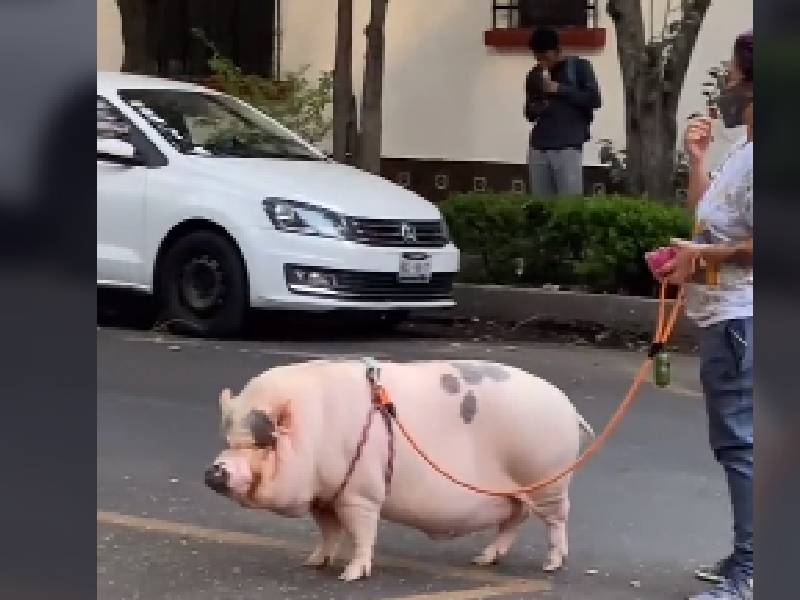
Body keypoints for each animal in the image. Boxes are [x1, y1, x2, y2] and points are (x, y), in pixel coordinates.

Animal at [206, 360, 592, 580]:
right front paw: (313, 563)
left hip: (547, 480)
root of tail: (569, 408)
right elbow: (328, 532)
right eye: (229, 439)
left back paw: (551, 566)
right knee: (514, 519)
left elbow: (361, 531)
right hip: (515, 491)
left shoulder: (360, 491)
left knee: (557, 519)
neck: (315, 427)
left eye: (263, 443)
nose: (214, 471)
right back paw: (483, 561)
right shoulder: (325, 496)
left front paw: (351, 576)